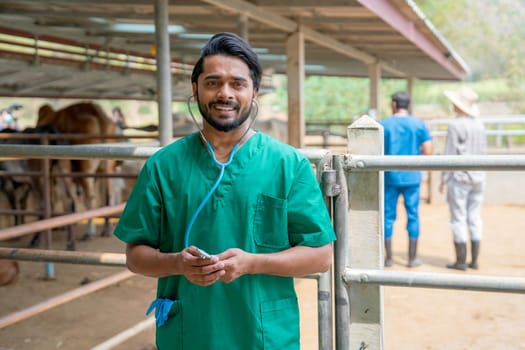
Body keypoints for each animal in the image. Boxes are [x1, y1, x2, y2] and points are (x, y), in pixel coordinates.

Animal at [36, 102, 117, 241]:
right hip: (106, 168)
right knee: (108, 195)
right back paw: (107, 229)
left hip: (85, 168)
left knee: (90, 198)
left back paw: (89, 232)